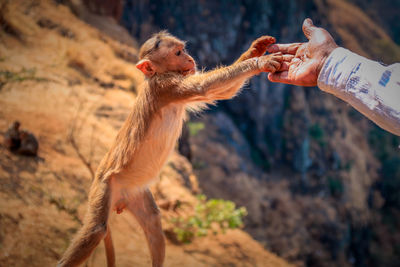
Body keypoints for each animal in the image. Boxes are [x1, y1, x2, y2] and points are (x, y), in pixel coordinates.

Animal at [57, 31, 284, 267]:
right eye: (177, 53)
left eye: (183, 50)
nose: (190, 58)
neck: (157, 75)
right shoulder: (166, 87)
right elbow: (204, 88)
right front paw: (260, 62)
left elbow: (223, 91)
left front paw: (256, 50)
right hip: (104, 187)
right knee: (96, 230)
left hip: (134, 192)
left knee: (154, 223)